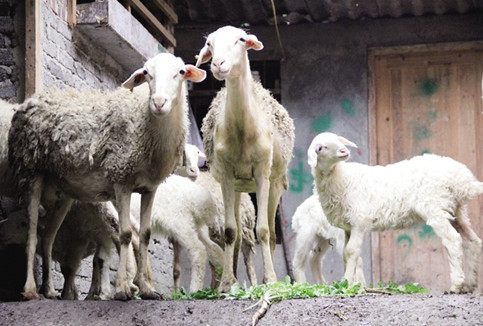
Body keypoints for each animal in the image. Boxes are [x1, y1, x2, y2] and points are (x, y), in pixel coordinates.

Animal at [7, 53, 207, 300]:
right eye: (146, 73)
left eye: (180, 72)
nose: (159, 103)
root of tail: (31, 100)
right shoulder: (121, 180)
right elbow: (125, 234)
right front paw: (122, 289)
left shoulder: (149, 188)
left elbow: (145, 235)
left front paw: (147, 289)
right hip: (31, 172)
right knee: (32, 234)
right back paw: (30, 290)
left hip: (63, 192)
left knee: (48, 238)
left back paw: (50, 290)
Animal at [196, 25, 294, 290]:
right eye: (209, 43)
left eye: (241, 39)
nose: (218, 64)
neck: (242, 130)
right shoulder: (226, 175)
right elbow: (230, 232)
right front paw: (226, 284)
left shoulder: (261, 173)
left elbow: (263, 231)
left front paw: (270, 279)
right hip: (239, 187)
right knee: (239, 235)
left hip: (275, 185)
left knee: (271, 232)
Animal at [308, 132, 483, 292]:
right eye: (320, 148)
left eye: (338, 140)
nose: (344, 151)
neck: (341, 177)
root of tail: (462, 180)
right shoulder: (348, 226)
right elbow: (346, 253)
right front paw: (350, 284)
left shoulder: (359, 221)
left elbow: (351, 252)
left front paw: (348, 283)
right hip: (455, 208)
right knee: (471, 240)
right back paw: (469, 284)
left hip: (435, 206)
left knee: (452, 239)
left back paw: (456, 284)